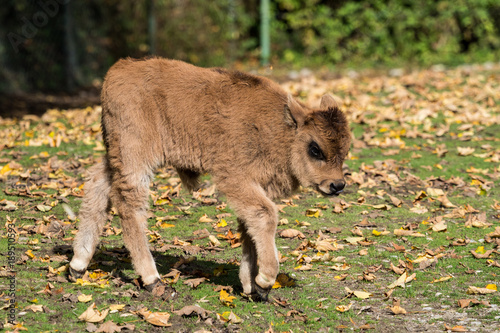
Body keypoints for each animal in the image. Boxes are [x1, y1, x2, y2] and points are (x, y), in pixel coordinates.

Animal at [70, 58, 352, 300]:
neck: (281, 127)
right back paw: (152, 279)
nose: (337, 185)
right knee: (130, 205)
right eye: (315, 149)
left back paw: (77, 265)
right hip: (136, 157)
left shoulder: (253, 187)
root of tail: (118, 69)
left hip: (116, 155)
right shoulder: (234, 177)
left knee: (97, 185)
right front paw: (264, 281)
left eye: (345, 148)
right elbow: (266, 215)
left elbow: (250, 226)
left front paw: (251, 285)